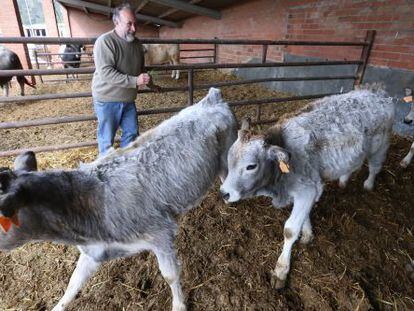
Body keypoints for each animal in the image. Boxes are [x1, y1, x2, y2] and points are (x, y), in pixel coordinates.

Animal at [0, 88, 236, 311]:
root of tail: (210, 99)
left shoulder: (160, 234)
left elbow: (170, 275)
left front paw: (179, 305)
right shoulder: (94, 251)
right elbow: (73, 283)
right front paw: (58, 305)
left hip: (227, 156)